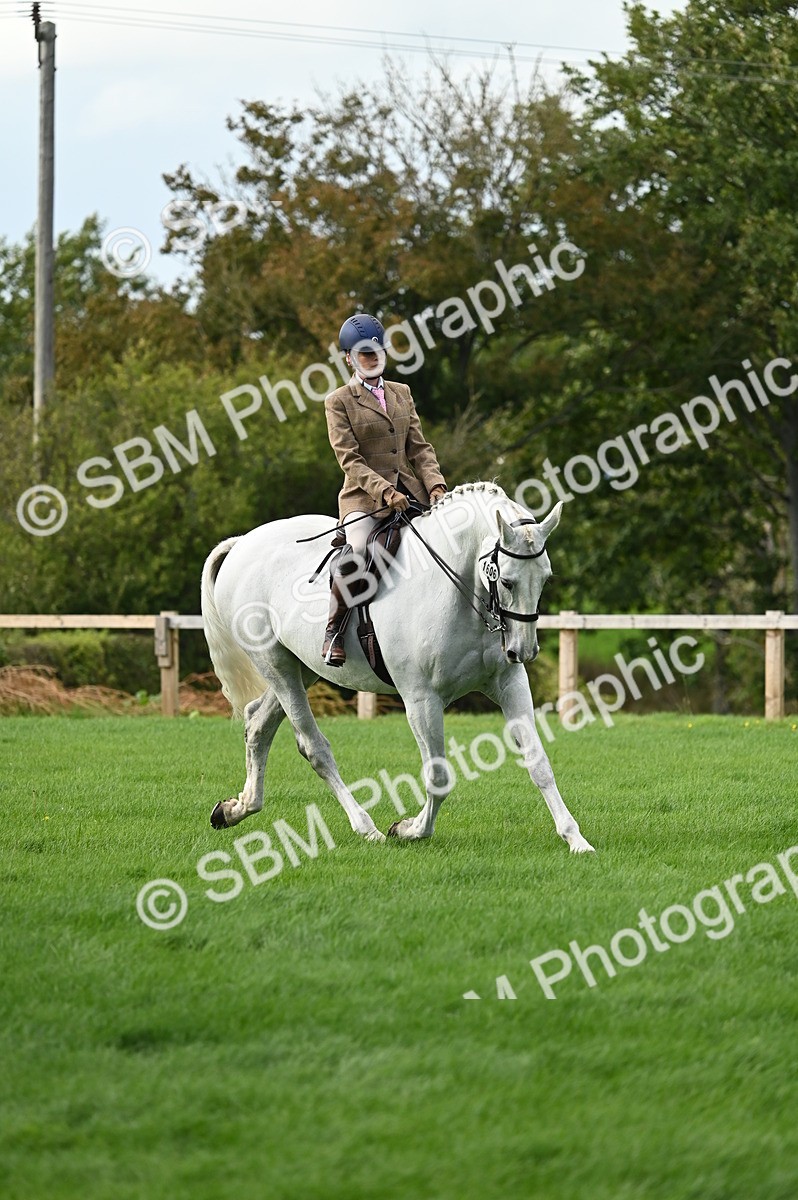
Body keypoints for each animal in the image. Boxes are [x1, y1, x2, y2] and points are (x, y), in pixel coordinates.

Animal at [200, 481, 594, 853]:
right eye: (507, 580)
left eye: (545, 578)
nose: (523, 651)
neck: (459, 590)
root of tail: (243, 543)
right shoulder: (421, 700)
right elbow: (438, 776)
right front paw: (411, 830)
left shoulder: (509, 684)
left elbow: (538, 762)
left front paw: (575, 839)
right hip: (275, 664)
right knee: (313, 747)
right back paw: (366, 827)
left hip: (302, 667)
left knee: (257, 723)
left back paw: (236, 809)